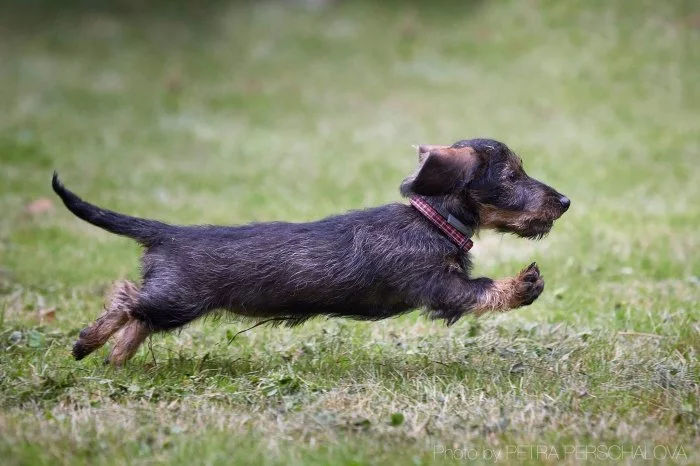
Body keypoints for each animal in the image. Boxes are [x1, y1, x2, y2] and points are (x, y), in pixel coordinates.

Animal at [53, 137, 568, 364]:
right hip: (178, 298)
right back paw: (89, 341)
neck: (431, 219)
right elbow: (484, 290)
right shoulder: (442, 287)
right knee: (126, 299)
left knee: (138, 317)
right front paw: (523, 284)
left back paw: (116, 358)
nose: (564, 201)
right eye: (512, 176)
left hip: (172, 304)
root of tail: (170, 234)